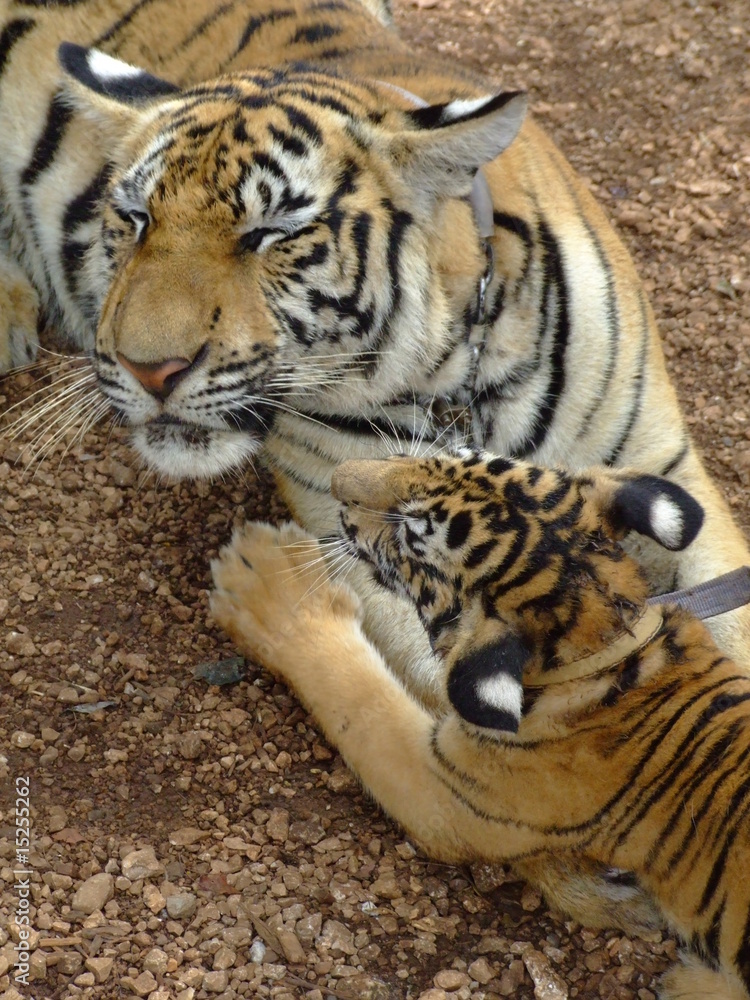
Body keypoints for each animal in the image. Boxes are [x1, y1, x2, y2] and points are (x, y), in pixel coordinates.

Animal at [210, 452, 750, 1000]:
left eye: (408, 535)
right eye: (450, 458)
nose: (339, 478)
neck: (603, 636)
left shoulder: (446, 791)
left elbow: (355, 692)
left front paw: (266, 575)